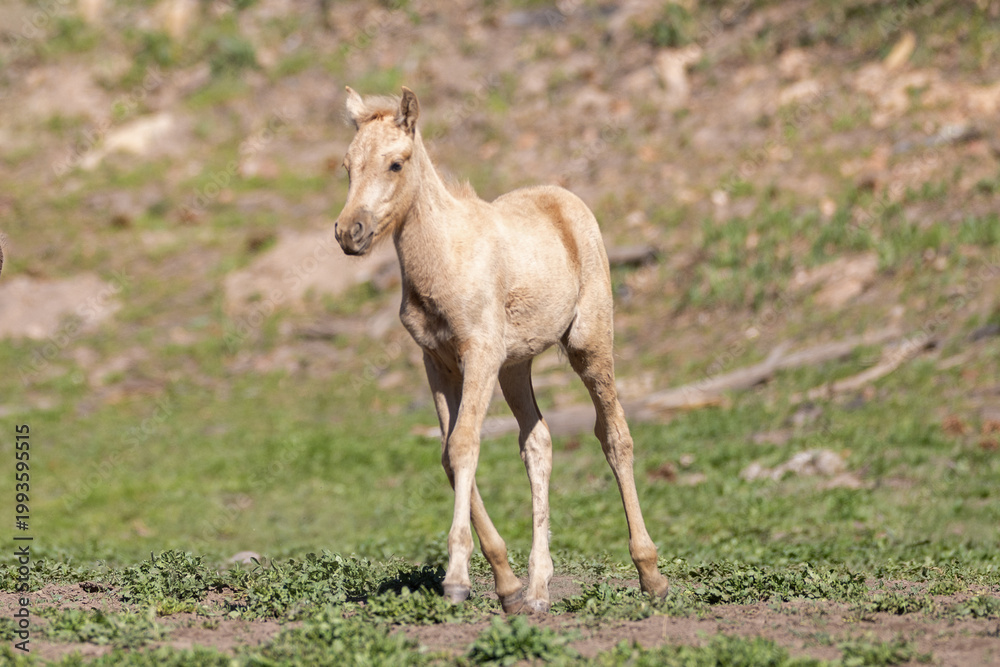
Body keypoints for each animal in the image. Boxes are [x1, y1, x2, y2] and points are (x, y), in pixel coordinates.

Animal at [334, 86, 668, 613]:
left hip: (589, 342)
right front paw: (506, 584)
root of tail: (565, 197)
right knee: (538, 441)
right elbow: (449, 453)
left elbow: (465, 444)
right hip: (517, 365)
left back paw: (650, 574)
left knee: (614, 435)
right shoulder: (437, 362)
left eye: (396, 163)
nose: (351, 232)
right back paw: (538, 588)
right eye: (347, 165)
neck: (443, 260)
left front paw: (456, 579)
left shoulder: (480, 353)